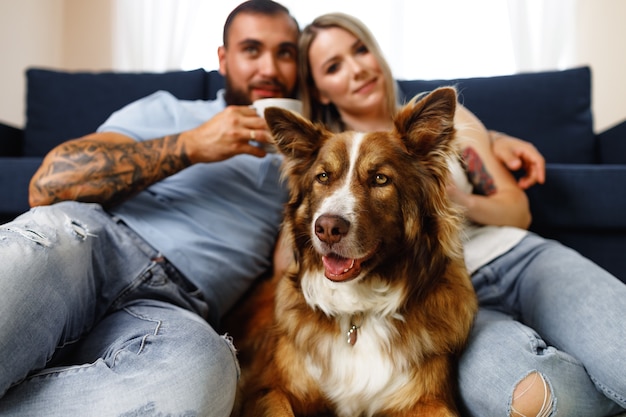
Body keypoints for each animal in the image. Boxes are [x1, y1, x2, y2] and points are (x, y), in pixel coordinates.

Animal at [227, 86, 476, 414]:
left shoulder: (429, 399)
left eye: (380, 179)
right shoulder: (271, 388)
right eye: (323, 177)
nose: (327, 228)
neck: (358, 314)